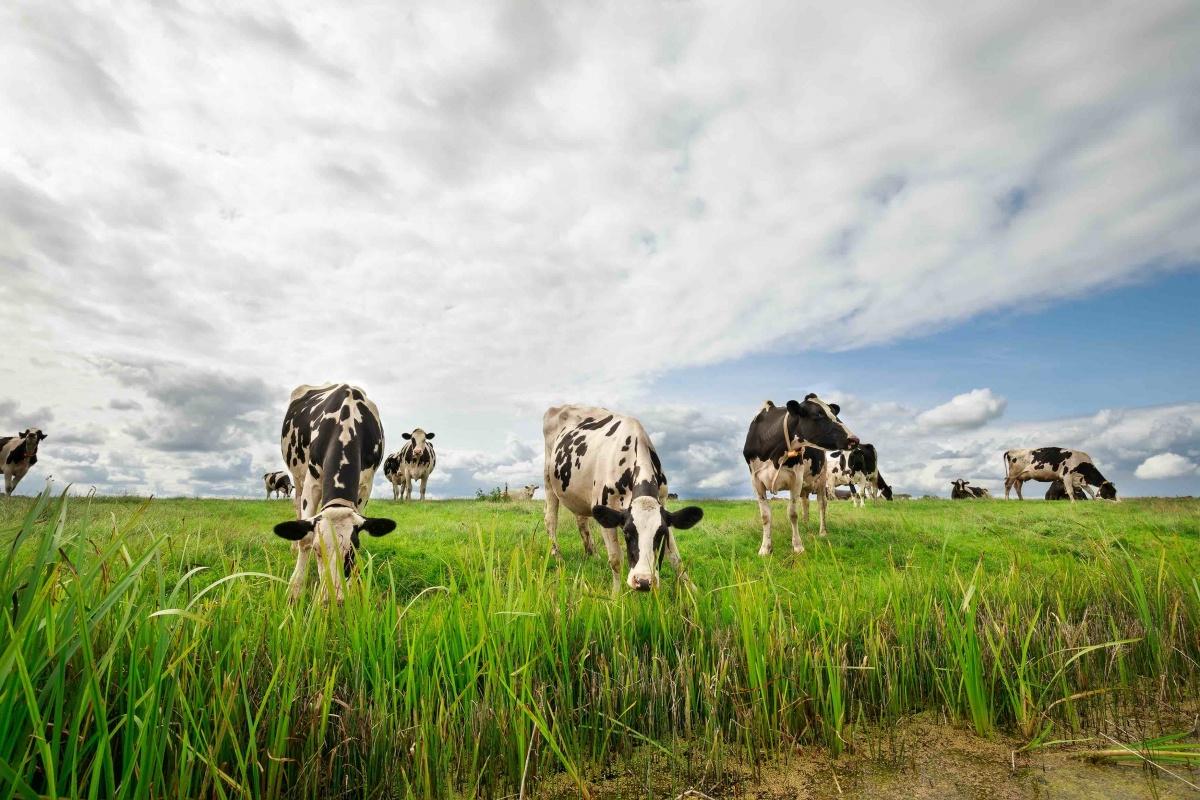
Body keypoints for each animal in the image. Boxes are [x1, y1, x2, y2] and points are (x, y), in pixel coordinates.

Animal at [271, 383, 393, 604]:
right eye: (318, 551)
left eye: (353, 551)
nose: (334, 601)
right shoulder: (312, 482)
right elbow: (305, 539)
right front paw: (295, 589)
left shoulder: (365, 486)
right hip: (297, 478)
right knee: (297, 510)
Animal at [544, 402, 700, 592]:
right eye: (627, 532)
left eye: (660, 533)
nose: (644, 581)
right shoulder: (605, 511)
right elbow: (616, 560)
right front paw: (616, 595)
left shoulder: (663, 505)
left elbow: (676, 558)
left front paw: (692, 589)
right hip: (548, 480)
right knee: (551, 520)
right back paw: (558, 557)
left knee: (581, 521)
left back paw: (592, 555)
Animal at [739, 395, 864, 556]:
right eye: (818, 414)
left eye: (833, 413)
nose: (854, 439)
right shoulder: (756, 481)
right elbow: (765, 516)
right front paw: (765, 548)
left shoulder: (796, 479)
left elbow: (792, 513)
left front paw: (798, 546)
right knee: (805, 503)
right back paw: (805, 525)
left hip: (822, 478)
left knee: (822, 504)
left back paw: (822, 532)